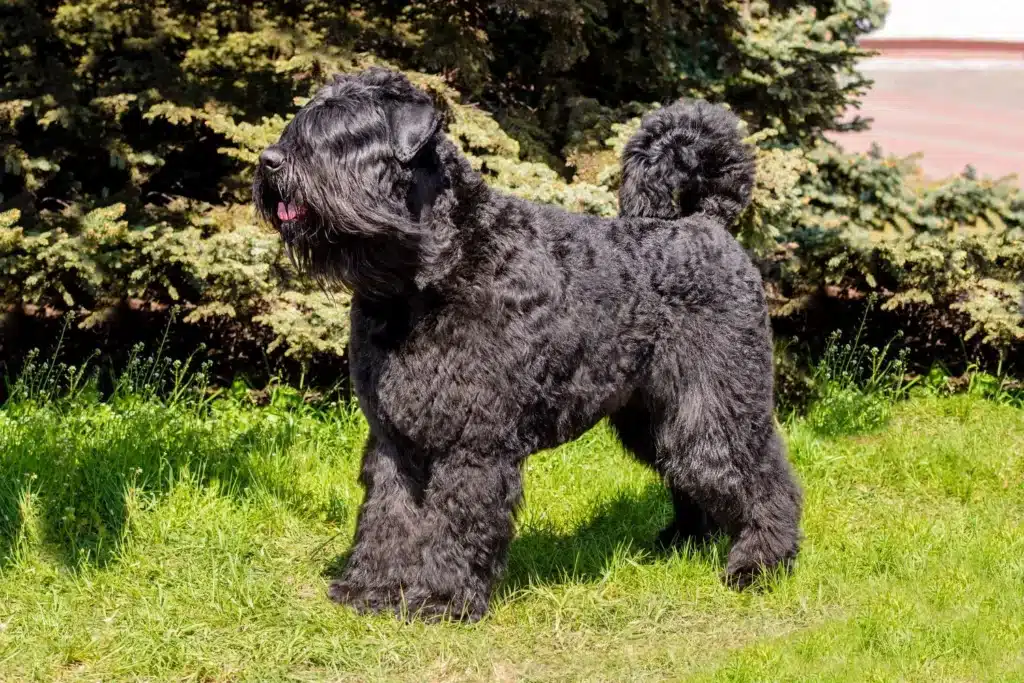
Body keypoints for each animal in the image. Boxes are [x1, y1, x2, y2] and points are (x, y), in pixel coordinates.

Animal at [253, 68, 798, 618]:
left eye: (348, 132)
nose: (269, 160)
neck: (428, 272)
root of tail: (706, 222)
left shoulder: (474, 440)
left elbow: (455, 520)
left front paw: (443, 598)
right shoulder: (394, 437)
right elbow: (389, 516)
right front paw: (373, 590)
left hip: (716, 401)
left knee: (759, 475)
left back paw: (760, 564)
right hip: (655, 415)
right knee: (687, 469)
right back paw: (681, 541)